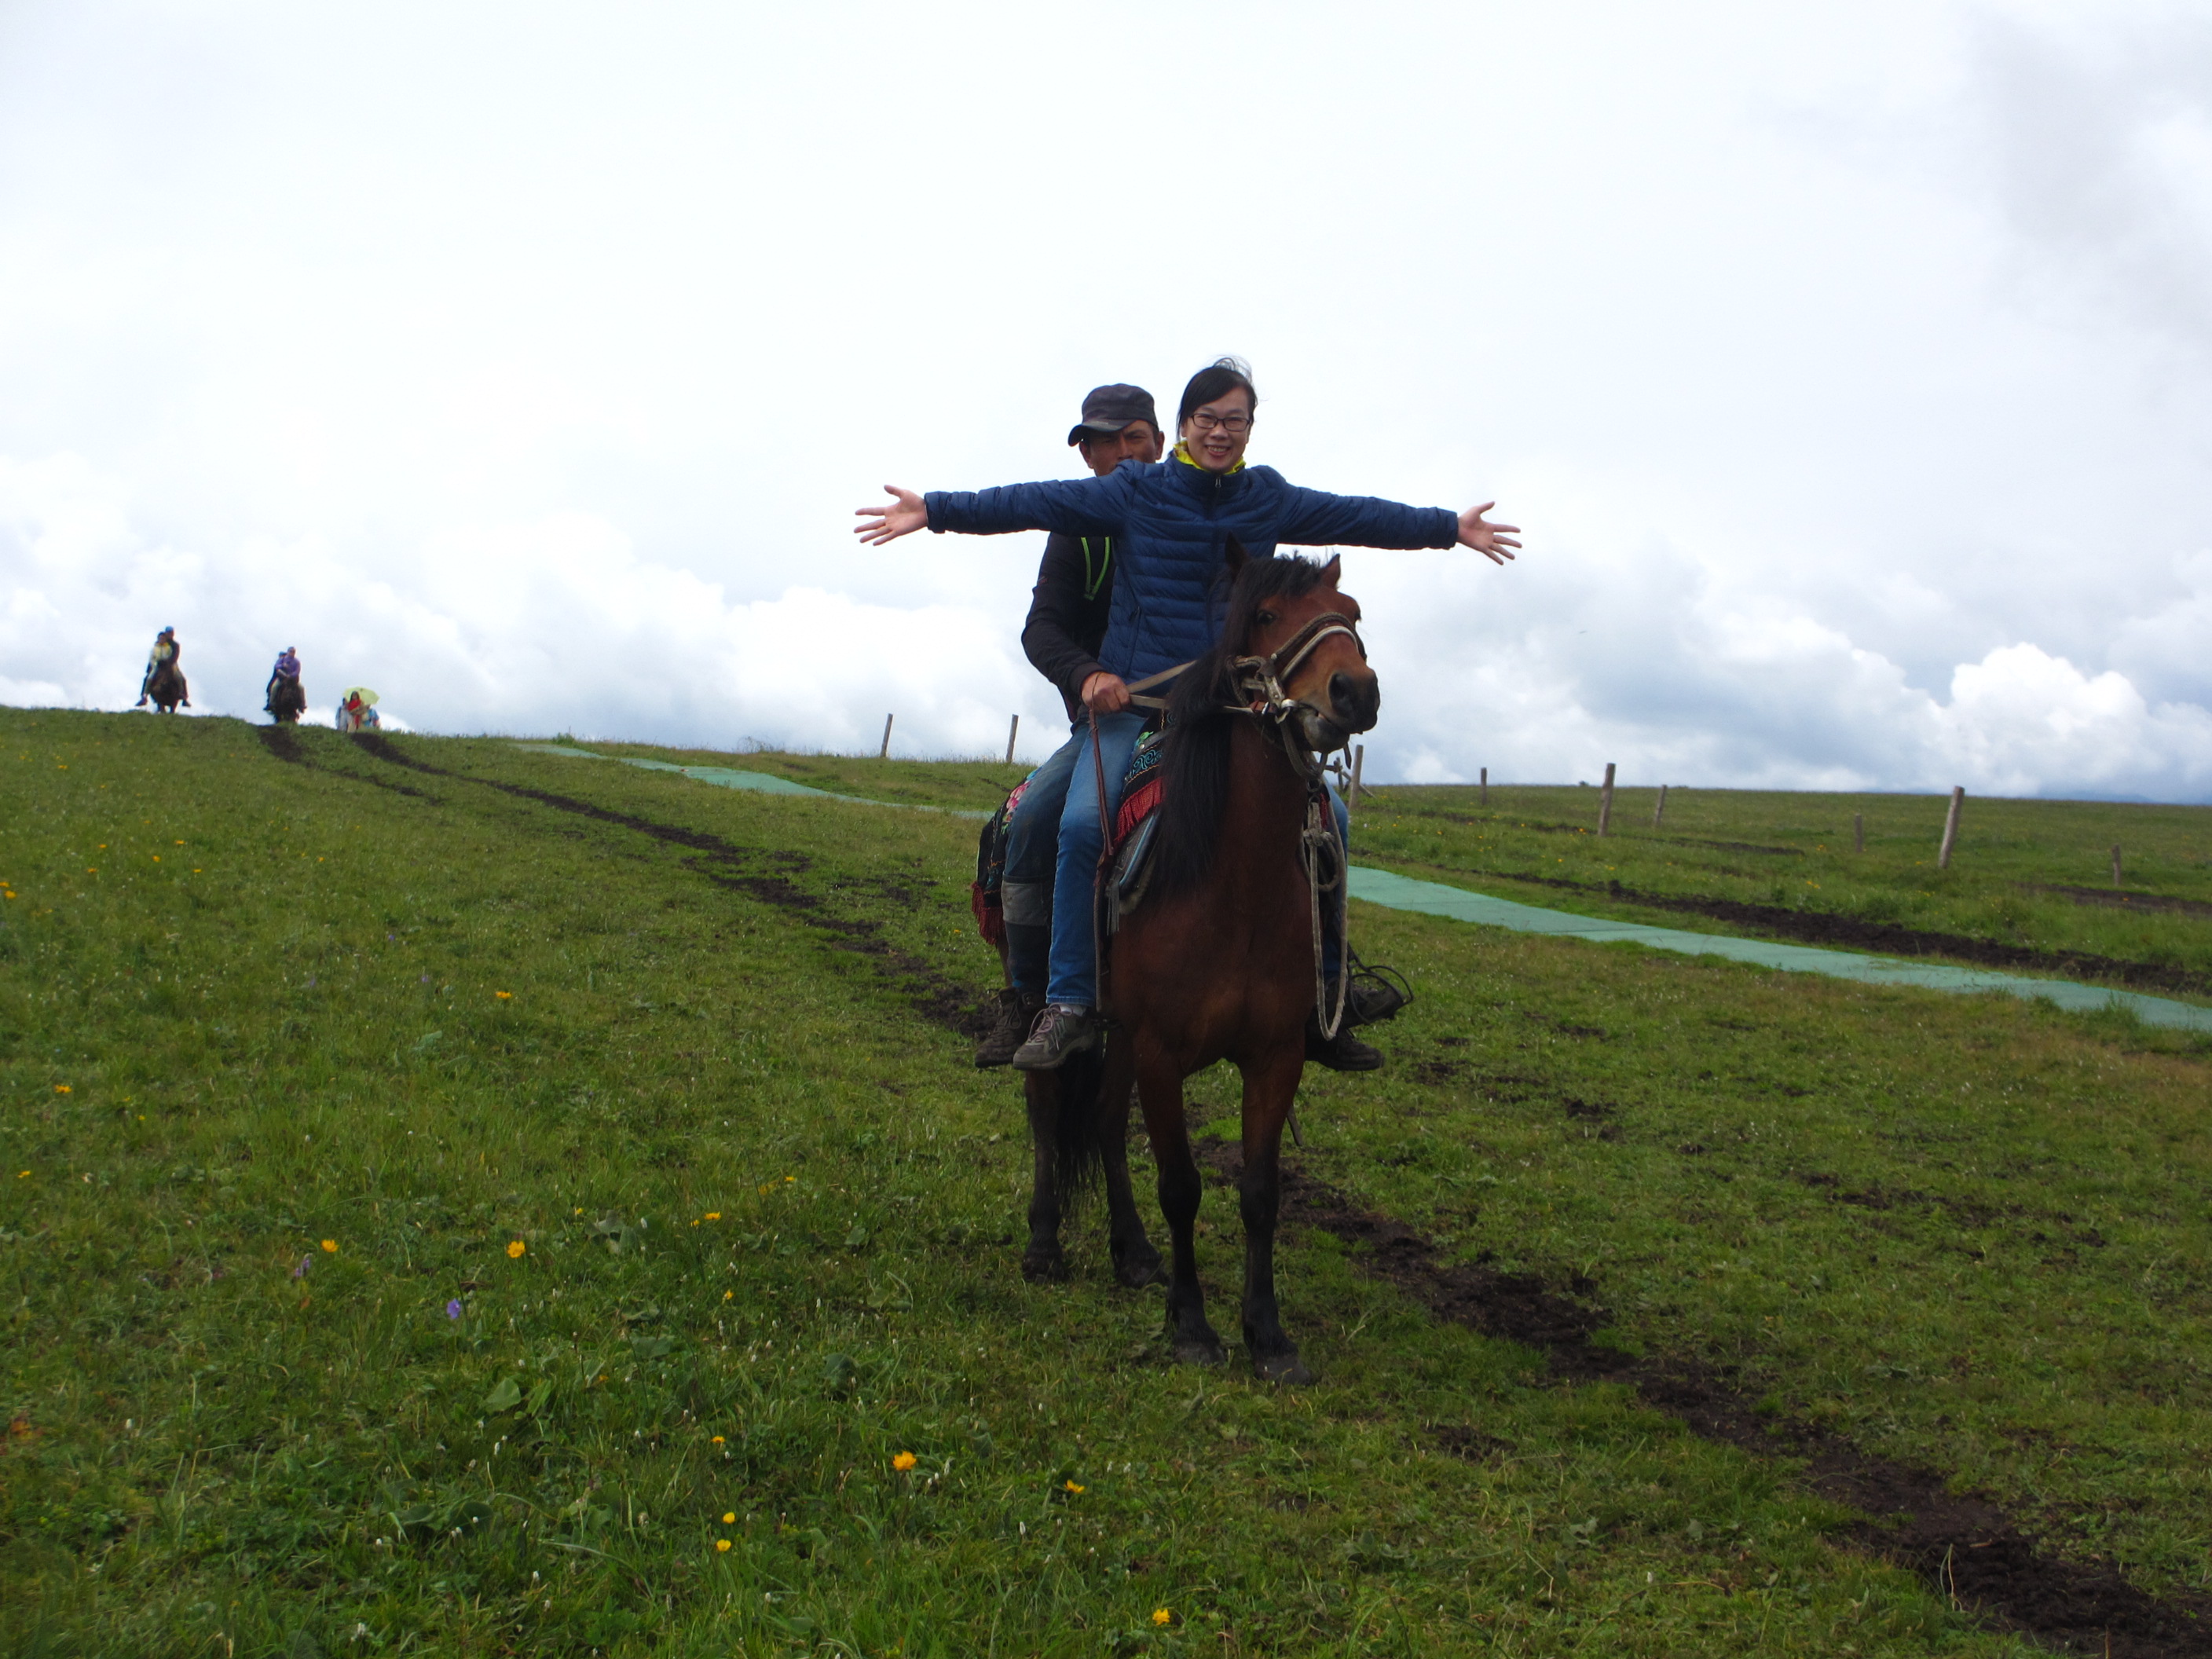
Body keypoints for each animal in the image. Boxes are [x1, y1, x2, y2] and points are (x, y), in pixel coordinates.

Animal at [1027, 547, 1377, 1383]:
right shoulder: (1161, 1052)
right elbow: (1182, 1185)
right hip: (1047, 999)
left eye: (1353, 612)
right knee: (1048, 1109)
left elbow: (1259, 1193)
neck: (1232, 889)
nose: (1354, 691)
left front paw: (1268, 1335)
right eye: (1265, 615)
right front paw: (1190, 1325)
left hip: (1119, 1035)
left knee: (1103, 1120)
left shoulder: (1276, 1056)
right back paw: (1044, 1244)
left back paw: (1132, 1254)